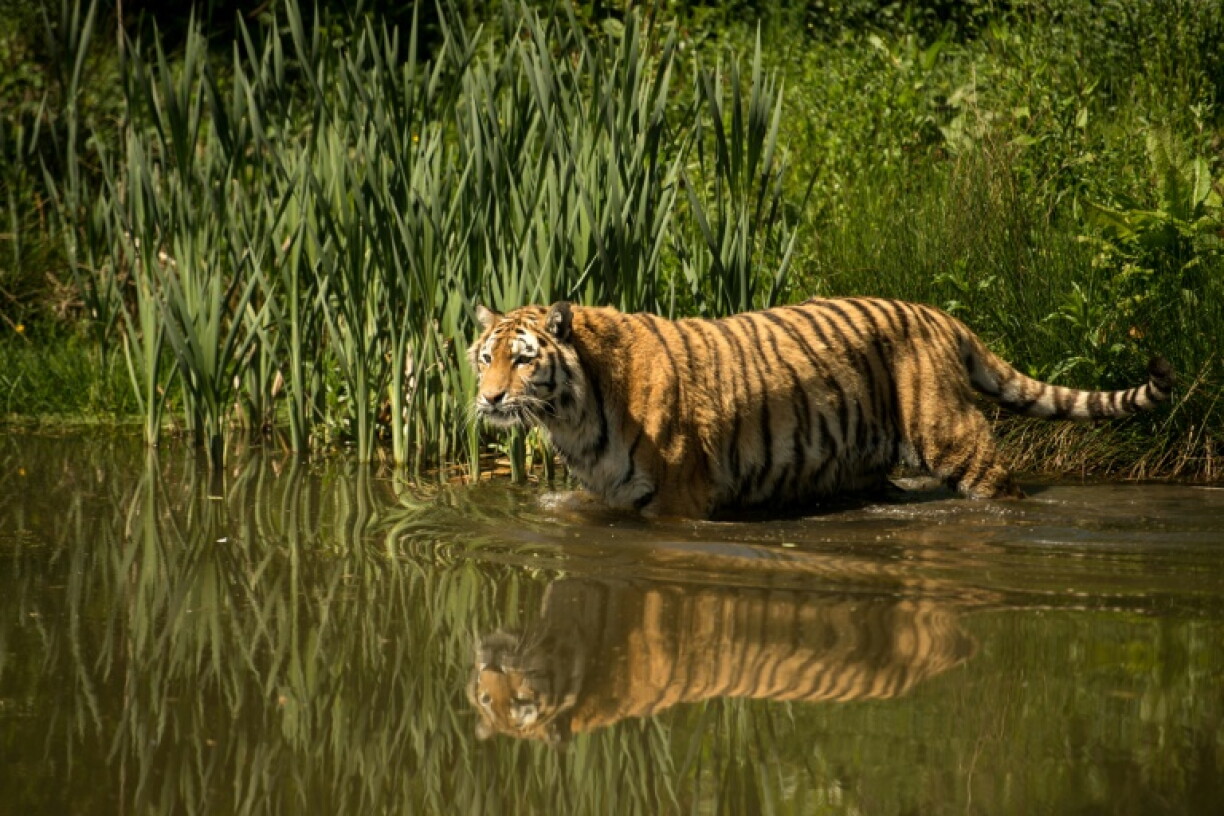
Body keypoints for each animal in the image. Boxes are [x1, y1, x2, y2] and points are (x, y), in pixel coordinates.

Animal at [469, 297, 1174, 518]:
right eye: (485, 358)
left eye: (523, 360)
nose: (491, 398)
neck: (574, 416)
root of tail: (939, 315)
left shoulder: (678, 498)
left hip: (952, 438)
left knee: (1000, 485)